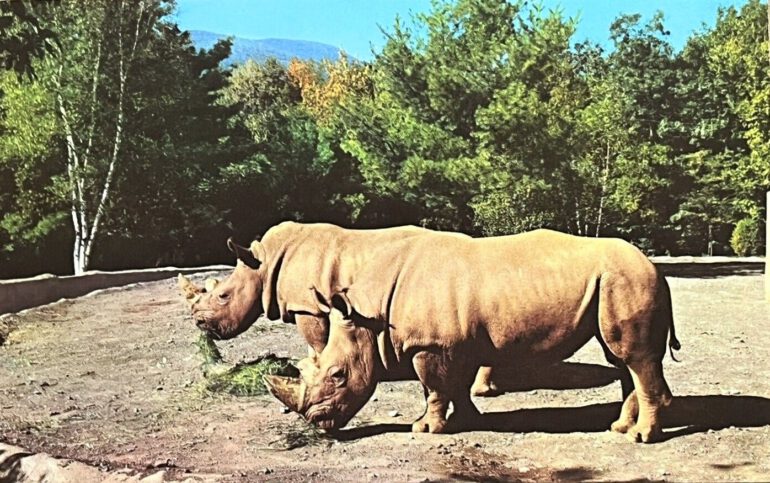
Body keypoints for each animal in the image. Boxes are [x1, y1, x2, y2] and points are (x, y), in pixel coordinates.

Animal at [177, 221, 501, 396]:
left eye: (223, 296)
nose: (200, 325)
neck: (263, 262)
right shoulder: (312, 306)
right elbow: (313, 347)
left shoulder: (307, 307)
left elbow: (319, 344)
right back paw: (484, 390)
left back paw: (479, 390)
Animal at [264, 229, 681, 443]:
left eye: (338, 375)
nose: (317, 423)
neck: (372, 317)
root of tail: (654, 266)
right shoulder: (454, 345)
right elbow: (455, 387)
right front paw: (468, 419)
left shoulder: (430, 346)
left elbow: (433, 388)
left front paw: (424, 429)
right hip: (616, 282)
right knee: (621, 359)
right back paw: (620, 427)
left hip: (626, 281)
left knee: (635, 359)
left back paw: (640, 437)